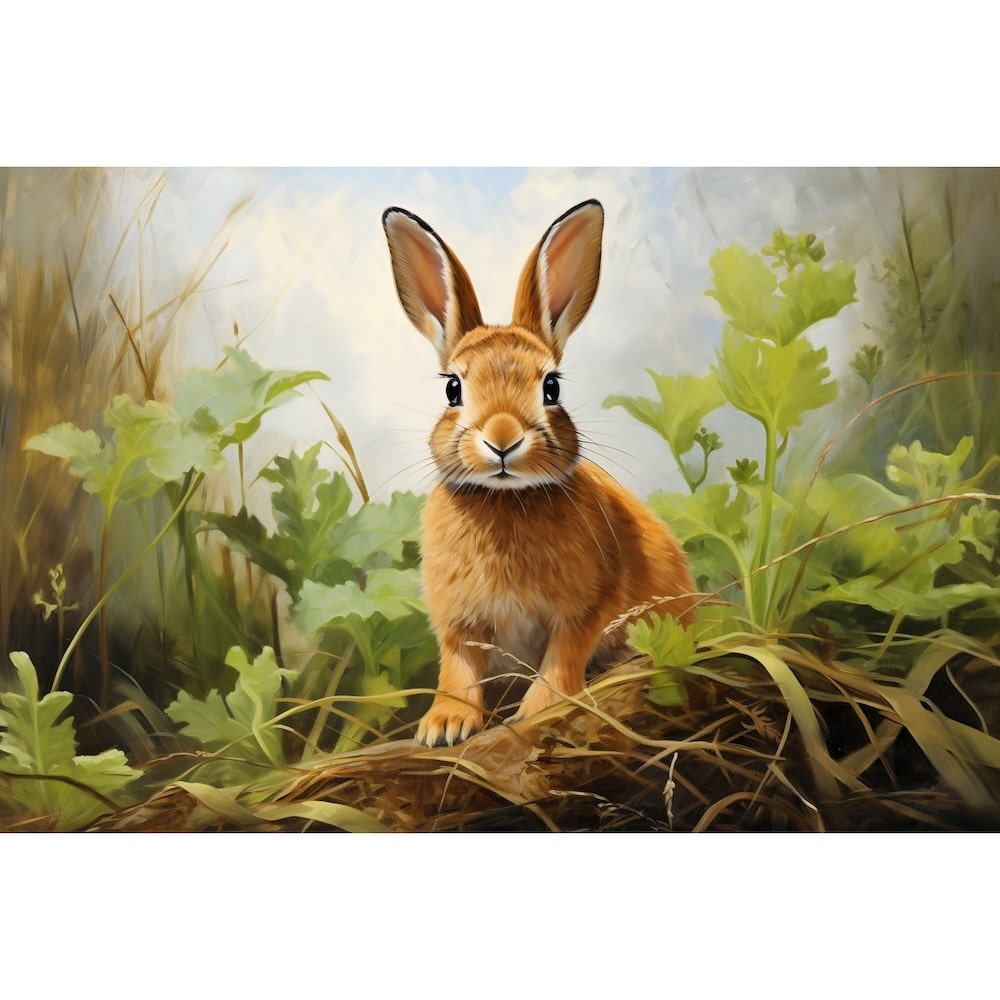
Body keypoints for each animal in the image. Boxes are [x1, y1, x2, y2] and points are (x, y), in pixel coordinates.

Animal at [382, 198, 697, 747]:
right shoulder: (459, 624)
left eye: (551, 387)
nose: (503, 439)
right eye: (452, 389)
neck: (506, 499)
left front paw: (537, 712)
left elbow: (563, 657)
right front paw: (444, 725)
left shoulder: (586, 608)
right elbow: (457, 669)